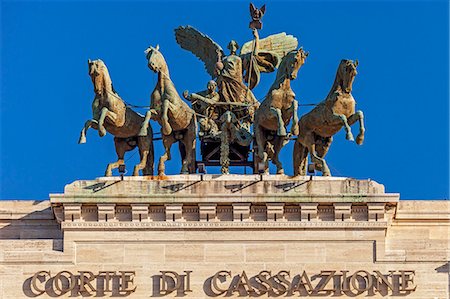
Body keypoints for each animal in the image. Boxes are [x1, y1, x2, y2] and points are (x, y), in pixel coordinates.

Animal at [140, 44, 196, 176]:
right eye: (147, 56)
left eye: (155, 53)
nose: (151, 65)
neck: (162, 87)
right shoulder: (156, 113)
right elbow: (148, 112)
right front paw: (143, 130)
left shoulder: (176, 111)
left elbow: (166, 104)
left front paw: (167, 126)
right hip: (168, 139)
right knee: (168, 155)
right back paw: (161, 170)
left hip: (190, 137)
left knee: (189, 155)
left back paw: (184, 170)